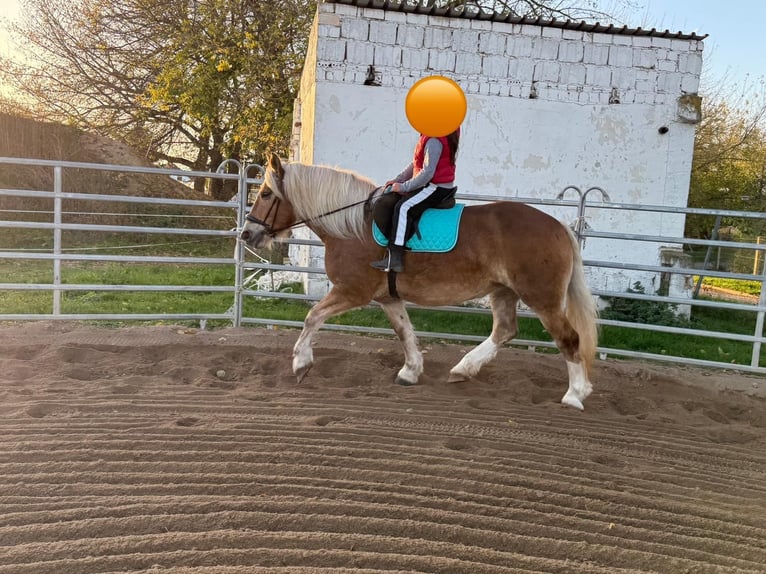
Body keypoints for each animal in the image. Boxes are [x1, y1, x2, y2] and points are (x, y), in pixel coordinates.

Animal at [240, 154, 600, 410]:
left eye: (266, 193)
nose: (247, 234)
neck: (351, 225)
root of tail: (558, 226)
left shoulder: (352, 292)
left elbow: (312, 317)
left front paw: (301, 363)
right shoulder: (387, 297)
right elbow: (405, 331)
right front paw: (410, 372)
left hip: (543, 298)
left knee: (569, 339)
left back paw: (575, 394)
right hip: (504, 292)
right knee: (505, 330)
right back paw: (463, 369)